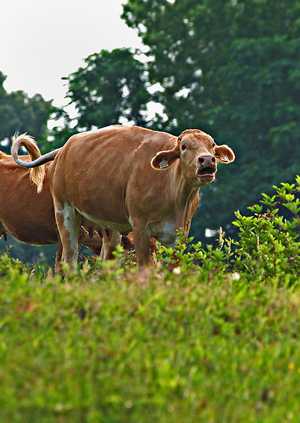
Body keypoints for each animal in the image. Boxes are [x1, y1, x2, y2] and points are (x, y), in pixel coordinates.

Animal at [12, 124, 236, 268]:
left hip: (109, 226)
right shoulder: (140, 227)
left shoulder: (180, 233)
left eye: (212, 146)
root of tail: (64, 149)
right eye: (184, 146)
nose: (206, 160)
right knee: (69, 259)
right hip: (65, 212)